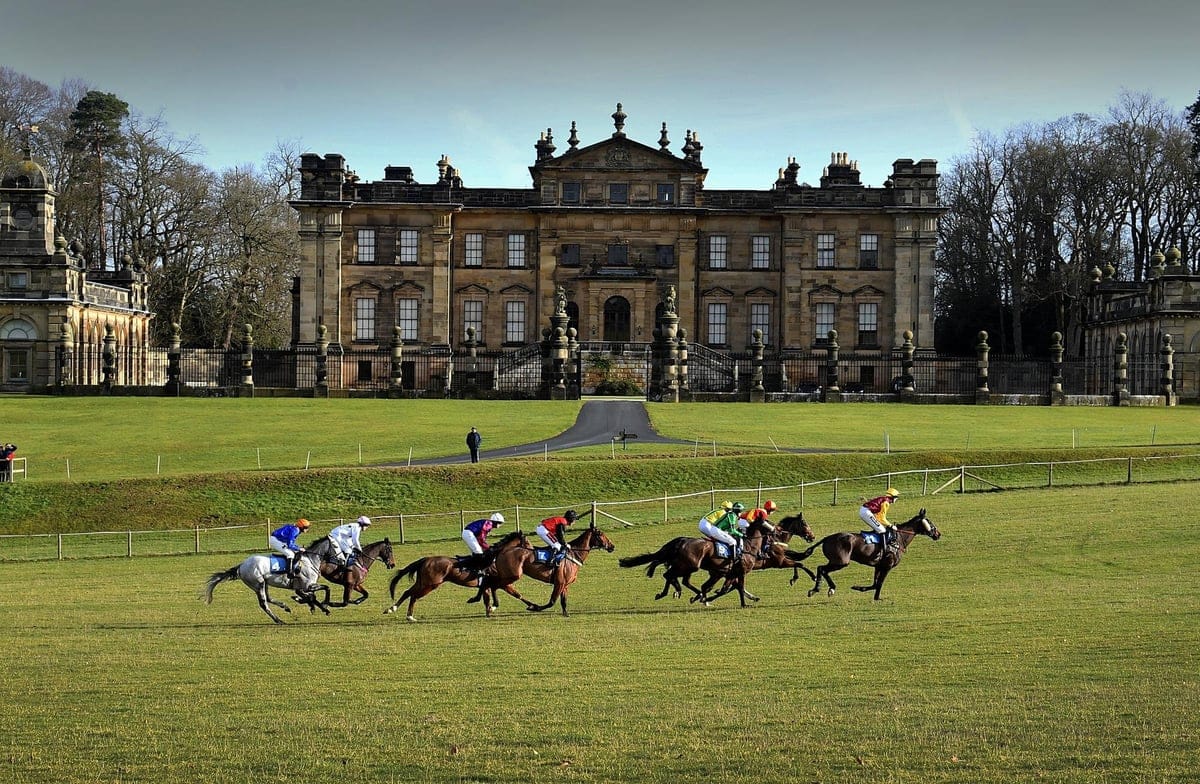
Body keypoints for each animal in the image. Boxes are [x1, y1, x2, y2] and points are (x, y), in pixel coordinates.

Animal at [202, 550, 331, 624]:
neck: (309, 562)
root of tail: (241, 565)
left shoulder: (304, 587)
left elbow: (312, 597)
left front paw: (318, 607)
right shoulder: (307, 586)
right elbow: (324, 589)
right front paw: (324, 606)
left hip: (263, 583)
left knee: (268, 599)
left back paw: (285, 607)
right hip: (258, 583)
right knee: (263, 604)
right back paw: (278, 620)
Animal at [383, 530, 530, 622]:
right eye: (527, 542)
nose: (531, 549)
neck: (494, 558)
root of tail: (425, 559)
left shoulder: (491, 584)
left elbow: (499, 597)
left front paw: (488, 609)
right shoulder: (498, 582)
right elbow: (512, 595)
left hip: (423, 582)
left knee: (408, 592)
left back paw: (399, 612)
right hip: (430, 584)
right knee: (413, 595)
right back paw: (401, 612)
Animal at [481, 520, 615, 618]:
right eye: (600, 534)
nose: (612, 546)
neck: (574, 554)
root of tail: (503, 550)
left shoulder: (565, 585)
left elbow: (563, 601)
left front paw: (566, 613)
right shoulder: (559, 583)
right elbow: (552, 601)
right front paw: (537, 608)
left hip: (507, 575)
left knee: (502, 587)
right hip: (513, 575)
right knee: (496, 585)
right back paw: (494, 606)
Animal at [618, 516, 785, 607]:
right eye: (768, 522)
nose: (778, 531)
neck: (748, 546)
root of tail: (681, 540)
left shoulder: (725, 573)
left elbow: (725, 587)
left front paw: (704, 598)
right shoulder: (740, 571)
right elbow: (736, 587)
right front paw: (744, 603)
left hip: (687, 566)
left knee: (677, 578)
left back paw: (680, 593)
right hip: (689, 565)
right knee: (670, 575)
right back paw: (675, 592)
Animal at [795, 509, 941, 600]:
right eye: (930, 521)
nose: (938, 534)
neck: (898, 539)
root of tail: (827, 538)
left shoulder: (879, 566)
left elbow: (875, 583)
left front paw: (859, 588)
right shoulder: (887, 566)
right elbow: (879, 584)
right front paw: (876, 597)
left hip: (837, 562)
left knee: (822, 569)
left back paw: (823, 588)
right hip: (841, 562)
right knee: (822, 568)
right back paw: (823, 589)